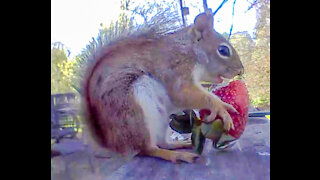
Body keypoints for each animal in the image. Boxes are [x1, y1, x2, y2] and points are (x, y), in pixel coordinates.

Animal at [84, 11, 244, 163]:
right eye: (223, 50)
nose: (241, 71)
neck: (189, 49)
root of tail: (113, 145)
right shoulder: (174, 68)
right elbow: (182, 94)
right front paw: (221, 107)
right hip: (133, 111)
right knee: (148, 148)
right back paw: (176, 155)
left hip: (161, 118)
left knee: (162, 142)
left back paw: (179, 144)